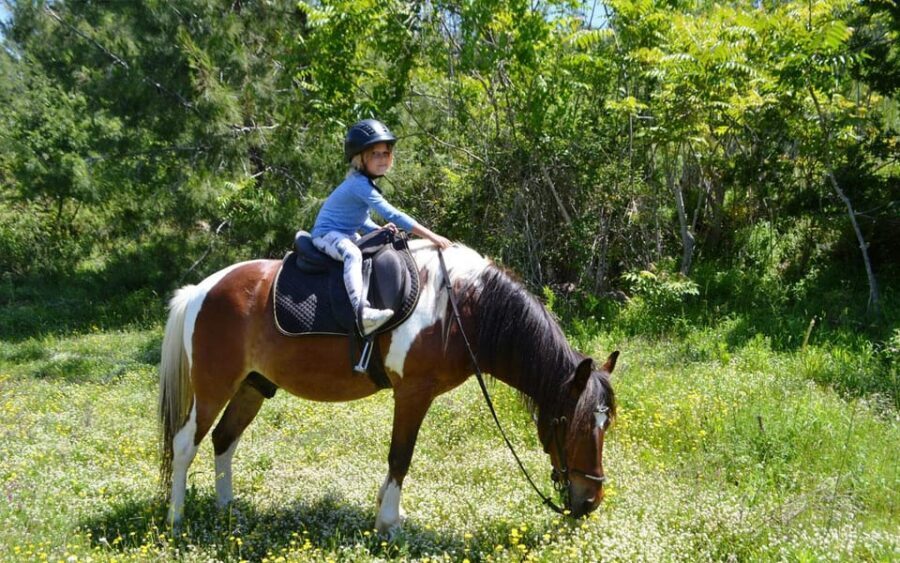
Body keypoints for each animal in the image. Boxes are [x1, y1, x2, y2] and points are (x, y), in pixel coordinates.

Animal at [158, 240, 617, 534]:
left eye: (606, 425)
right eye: (573, 424)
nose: (591, 500)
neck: (460, 310)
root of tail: (201, 290)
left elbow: (398, 459)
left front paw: (384, 512)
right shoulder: (413, 393)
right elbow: (400, 457)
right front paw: (389, 525)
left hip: (252, 386)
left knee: (224, 439)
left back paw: (226, 511)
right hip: (213, 387)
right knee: (184, 444)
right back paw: (176, 519)